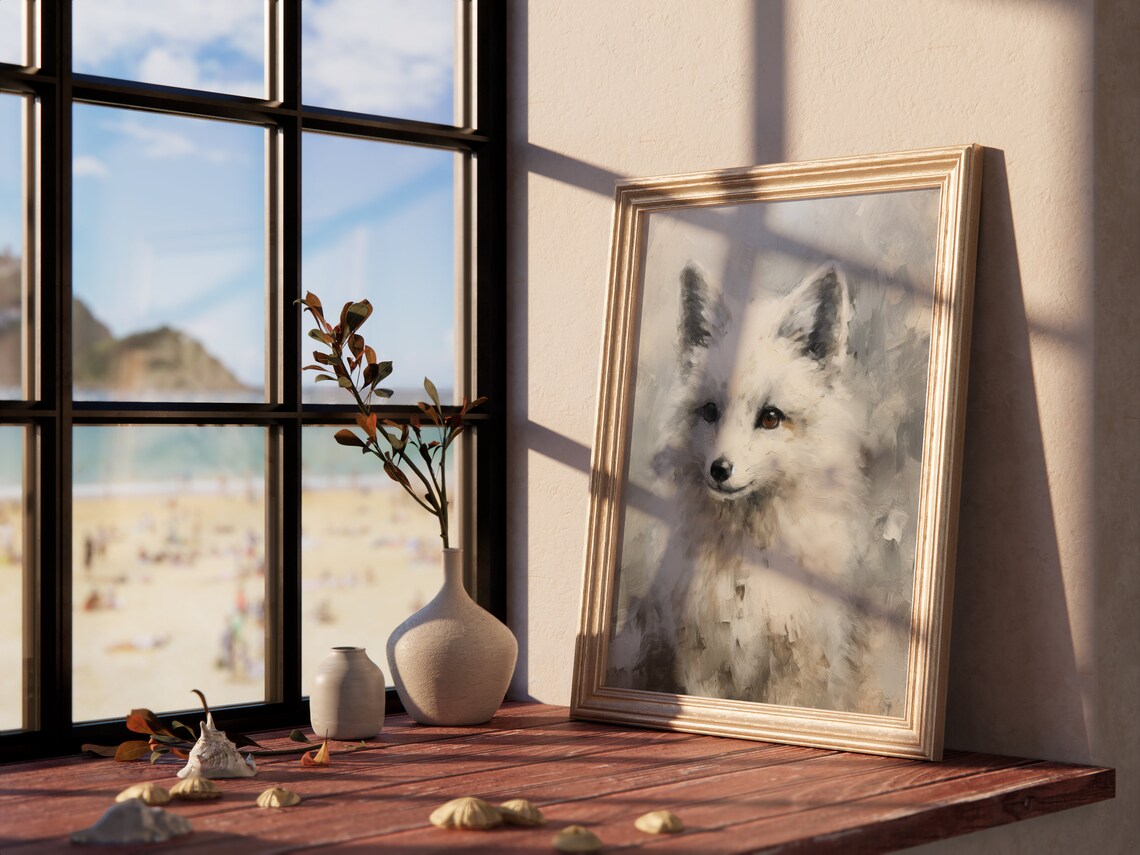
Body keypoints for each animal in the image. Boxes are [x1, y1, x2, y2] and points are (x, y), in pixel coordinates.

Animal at [618, 260, 909, 715]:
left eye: (771, 417)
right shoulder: (701, 662)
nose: (719, 470)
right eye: (710, 411)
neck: (745, 569)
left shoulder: (795, 668)